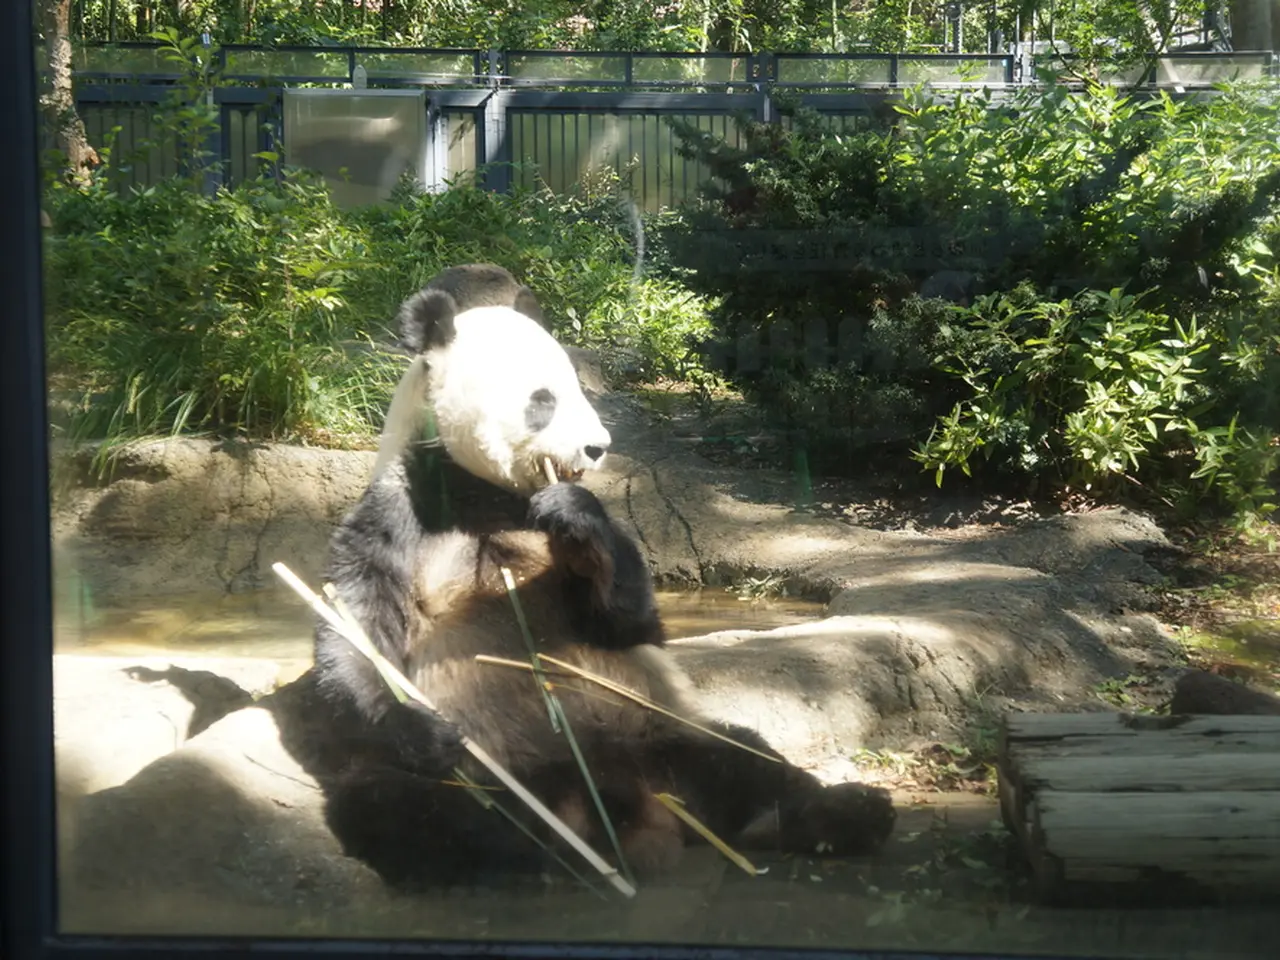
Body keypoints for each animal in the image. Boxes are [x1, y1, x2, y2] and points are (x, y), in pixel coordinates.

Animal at [311, 264, 896, 896]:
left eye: (579, 389)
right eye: (543, 400)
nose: (597, 448)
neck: (485, 493)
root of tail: (627, 805)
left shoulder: (550, 533)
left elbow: (630, 622)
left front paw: (576, 521)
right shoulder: (401, 509)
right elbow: (357, 628)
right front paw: (418, 725)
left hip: (657, 726)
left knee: (740, 757)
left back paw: (842, 815)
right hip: (489, 767)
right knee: (405, 804)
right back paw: (534, 850)